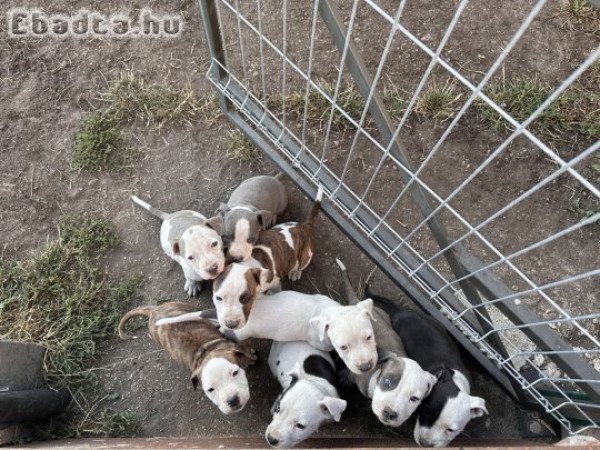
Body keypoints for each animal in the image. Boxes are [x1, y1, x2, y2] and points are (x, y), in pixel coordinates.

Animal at [119, 302, 255, 414]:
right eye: (210, 390)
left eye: (235, 372)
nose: (232, 400)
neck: (206, 352)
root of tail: (154, 309)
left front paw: (251, 357)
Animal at [157, 288, 378, 376]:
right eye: (343, 347)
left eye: (369, 336)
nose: (366, 367)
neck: (326, 311)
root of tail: (222, 316)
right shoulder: (318, 341)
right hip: (239, 333)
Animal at [211, 187, 324, 330]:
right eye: (218, 298)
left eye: (245, 298)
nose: (231, 324)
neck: (247, 264)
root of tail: (305, 226)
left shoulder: (275, 283)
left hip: (306, 256)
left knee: (301, 265)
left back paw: (295, 272)